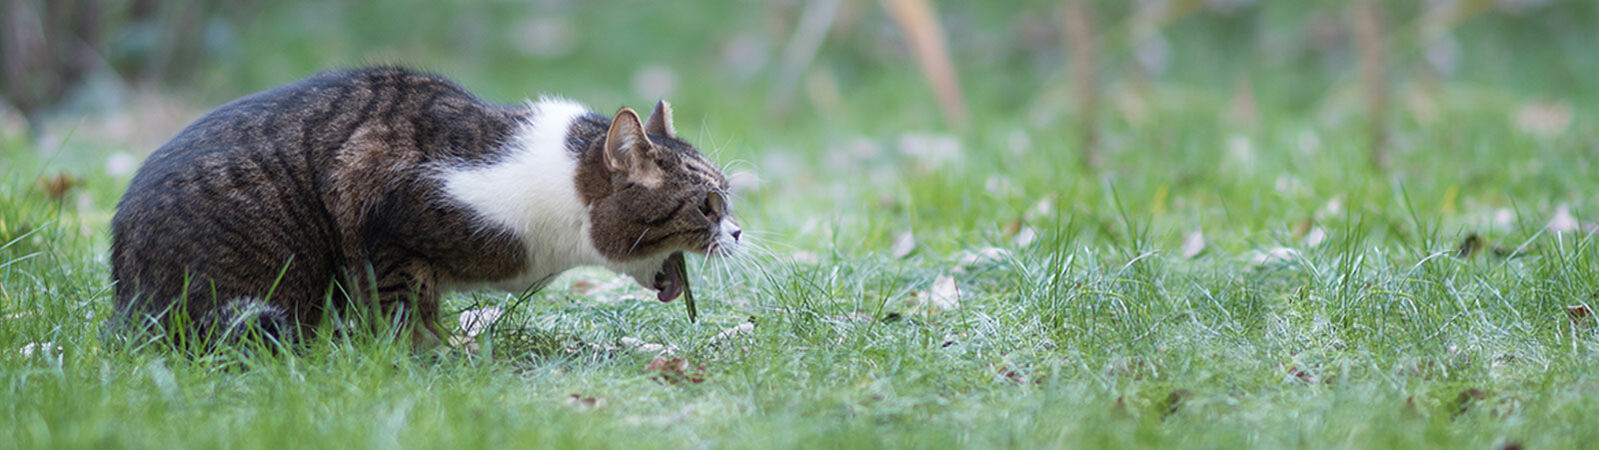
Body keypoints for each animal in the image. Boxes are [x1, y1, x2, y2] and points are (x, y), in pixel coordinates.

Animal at [106, 65, 741, 347]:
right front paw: (430, 357)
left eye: (727, 199)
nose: (737, 231)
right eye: (708, 206)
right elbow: (405, 305)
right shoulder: (381, 209)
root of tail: (124, 303)